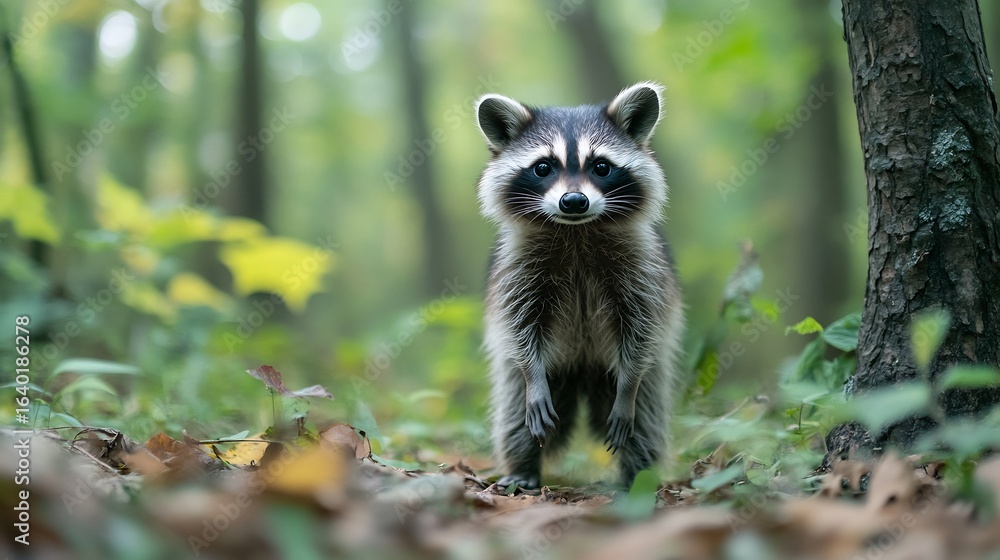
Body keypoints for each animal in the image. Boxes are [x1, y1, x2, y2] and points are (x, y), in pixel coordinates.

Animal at [474, 82, 685, 489]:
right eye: (543, 167)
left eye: (601, 166)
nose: (573, 201)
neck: (576, 230)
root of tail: (583, 369)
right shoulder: (516, 268)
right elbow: (519, 326)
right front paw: (532, 375)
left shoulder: (643, 268)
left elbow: (642, 329)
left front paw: (628, 385)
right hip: (537, 377)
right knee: (515, 414)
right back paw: (523, 466)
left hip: (642, 377)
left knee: (646, 419)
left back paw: (638, 475)